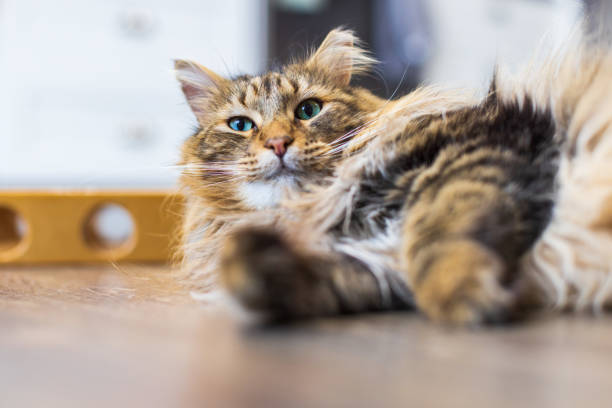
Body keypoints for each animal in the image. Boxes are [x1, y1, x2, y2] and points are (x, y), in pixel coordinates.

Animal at [171, 26, 612, 326]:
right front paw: (249, 265)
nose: (278, 143)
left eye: (308, 110)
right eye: (241, 125)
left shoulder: (475, 147)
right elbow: (282, 272)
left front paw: (463, 296)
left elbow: (436, 234)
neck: (317, 208)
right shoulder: (372, 264)